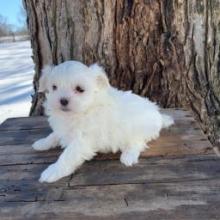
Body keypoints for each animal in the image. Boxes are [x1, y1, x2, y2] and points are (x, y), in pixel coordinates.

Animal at [32, 60, 174, 182]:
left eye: (80, 89)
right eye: (54, 87)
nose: (63, 100)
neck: (83, 110)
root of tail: (157, 114)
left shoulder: (83, 140)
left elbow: (67, 155)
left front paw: (52, 171)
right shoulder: (64, 129)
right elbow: (54, 135)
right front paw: (42, 143)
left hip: (137, 128)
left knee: (138, 142)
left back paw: (128, 156)